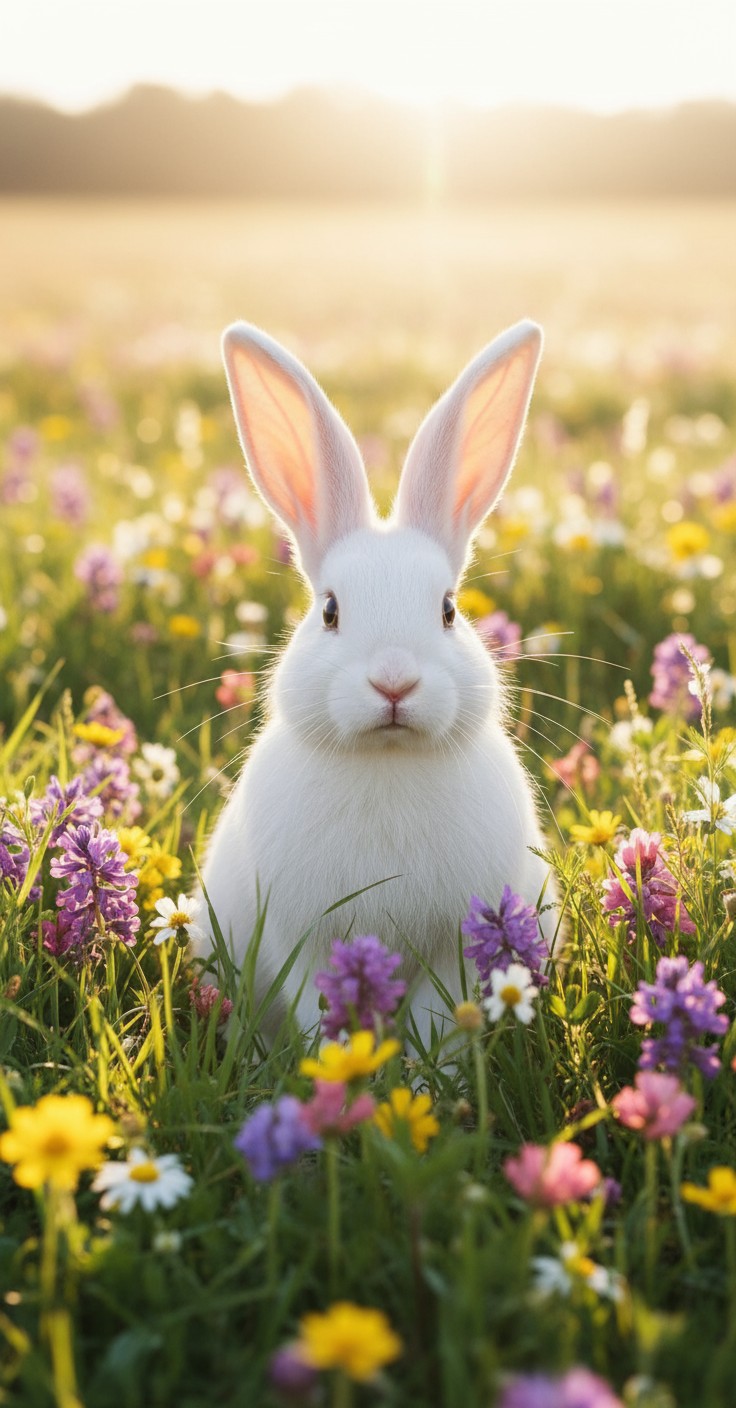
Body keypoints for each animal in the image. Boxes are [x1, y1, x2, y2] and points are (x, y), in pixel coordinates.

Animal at [192, 319, 558, 1049]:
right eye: (330, 610)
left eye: (448, 610)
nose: (395, 683)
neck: (388, 758)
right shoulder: (301, 937)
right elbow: (319, 1007)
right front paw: (334, 1057)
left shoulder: (455, 945)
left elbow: (439, 1018)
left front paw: (424, 1074)